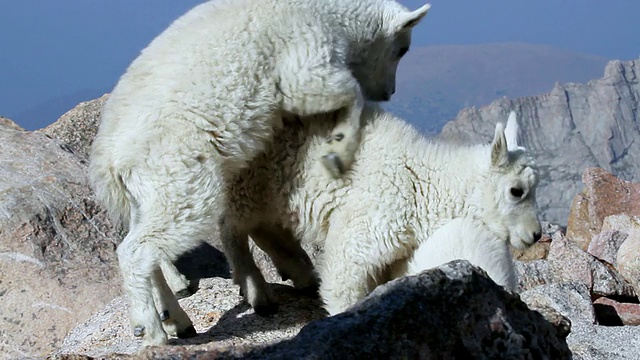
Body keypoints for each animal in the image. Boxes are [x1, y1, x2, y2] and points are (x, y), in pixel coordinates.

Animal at [89, 0, 430, 346]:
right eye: (402, 48)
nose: (388, 92)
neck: (331, 14)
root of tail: (109, 164)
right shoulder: (306, 54)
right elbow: (341, 92)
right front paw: (339, 151)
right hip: (178, 176)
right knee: (140, 247)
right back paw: (151, 327)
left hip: (146, 195)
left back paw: (176, 318)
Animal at [219, 107, 540, 316]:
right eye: (516, 190)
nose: (535, 234)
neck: (423, 183)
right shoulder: (368, 227)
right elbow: (342, 283)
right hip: (245, 177)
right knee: (231, 226)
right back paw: (257, 291)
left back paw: (299, 272)